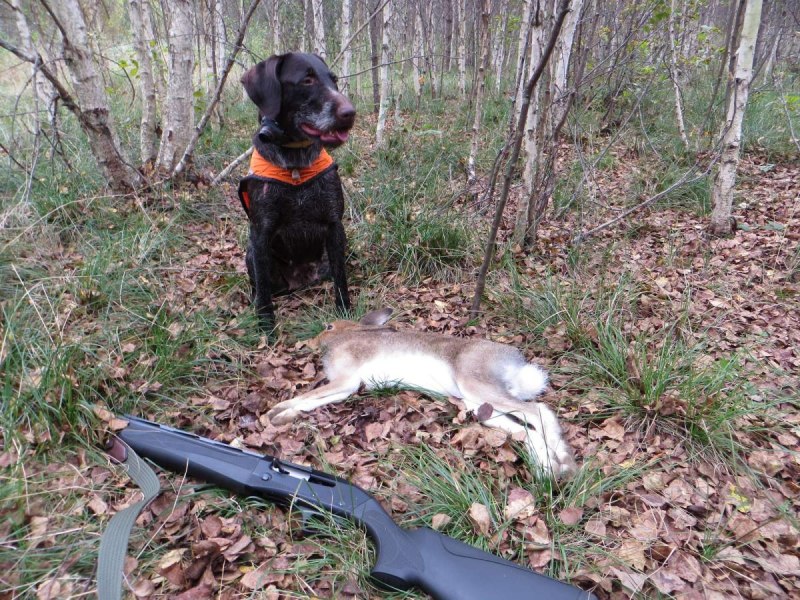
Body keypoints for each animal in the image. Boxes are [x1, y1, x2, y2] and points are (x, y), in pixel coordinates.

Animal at [234, 53, 354, 330]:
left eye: (333, 79)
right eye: (307, 80)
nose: (350, 113)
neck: (296, 163)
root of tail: (301, 282)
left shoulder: (335, 225)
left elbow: (341, 281)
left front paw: (345, 312)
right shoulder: (260, 233)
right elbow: (264, 292)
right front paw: (265, 327)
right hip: (250, 253)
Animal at [268, 308, 576, 476]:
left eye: (329, 326)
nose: (309, 341)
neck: (347, 336)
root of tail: (516, 366)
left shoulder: (344, 380)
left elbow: (307, 396)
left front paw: (272, 412)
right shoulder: (345, 388)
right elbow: (311, 402)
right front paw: (281, 417)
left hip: (476, 384)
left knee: (539, 411)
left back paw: (558, 466)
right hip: (480, 405)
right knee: (526, 429)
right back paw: (551, 467)